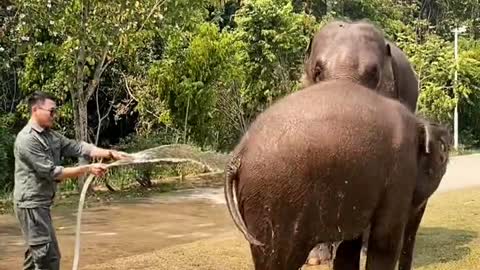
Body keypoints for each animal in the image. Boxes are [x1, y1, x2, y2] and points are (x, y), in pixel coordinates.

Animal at [224, 80, 450, 270]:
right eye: (443, 157)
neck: (418, 122)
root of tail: (238, 152)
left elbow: (349, 246)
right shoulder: (400, 173)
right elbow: (385, 240)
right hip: (273, 200)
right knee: (280, 259)